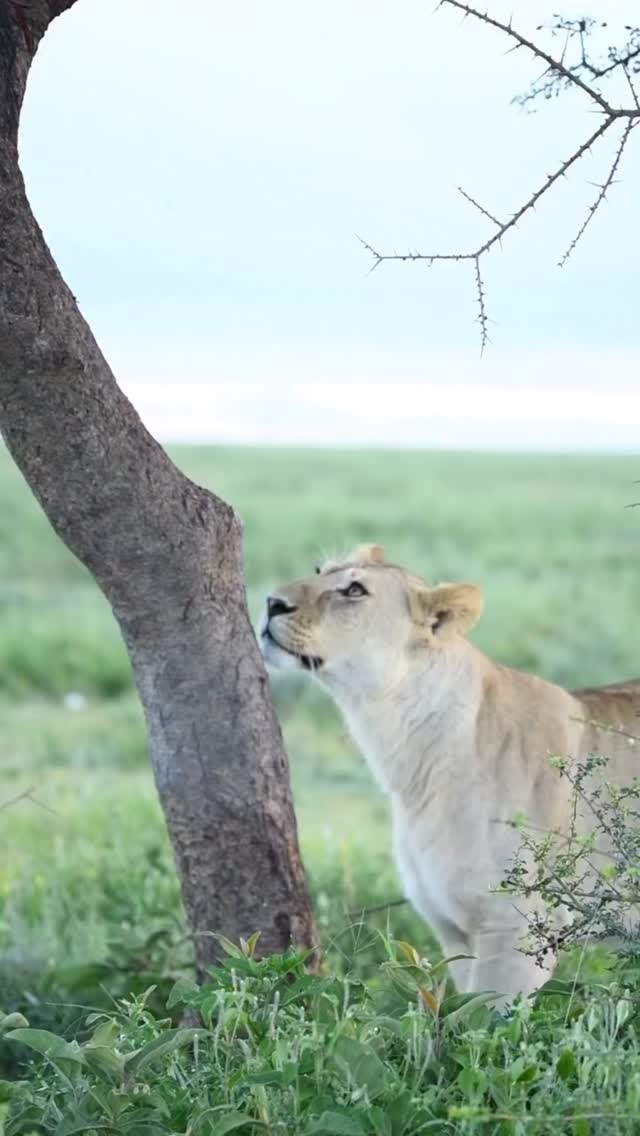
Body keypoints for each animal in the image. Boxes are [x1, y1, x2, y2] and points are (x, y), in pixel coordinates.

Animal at [261, 543, 640, 1001]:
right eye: (320, 570)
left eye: (354, 590)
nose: (271, 602)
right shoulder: (455, 931)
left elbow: (491, 1019)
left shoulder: (515, 927)